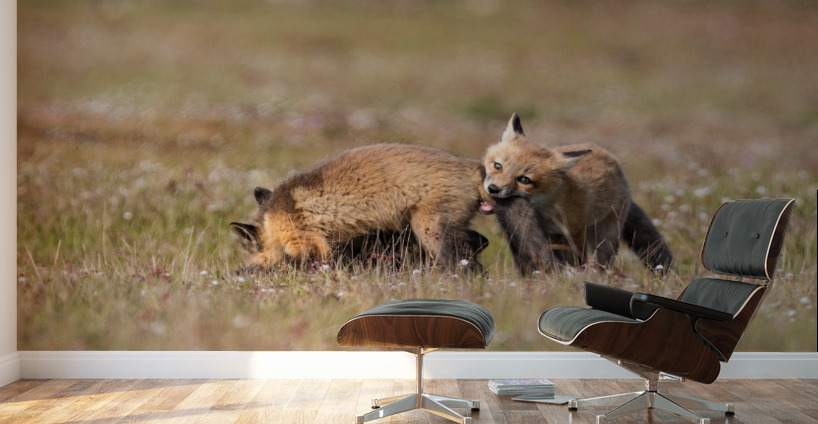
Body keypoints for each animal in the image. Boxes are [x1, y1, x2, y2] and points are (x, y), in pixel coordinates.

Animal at [230, 143, 490, 273]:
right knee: (480, 243)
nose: (248, 266)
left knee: (470, 268)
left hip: (430, 233)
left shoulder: (311, 245)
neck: (276, 217)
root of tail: (472, 166)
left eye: (251, 250)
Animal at [480, 114, 673, 274]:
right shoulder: (545, 237)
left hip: (604, 237)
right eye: (497, 165)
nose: (493, 189)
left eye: (524, 180)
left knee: (602, 262)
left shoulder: (574, 233)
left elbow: (575, 260)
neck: (545, 211)